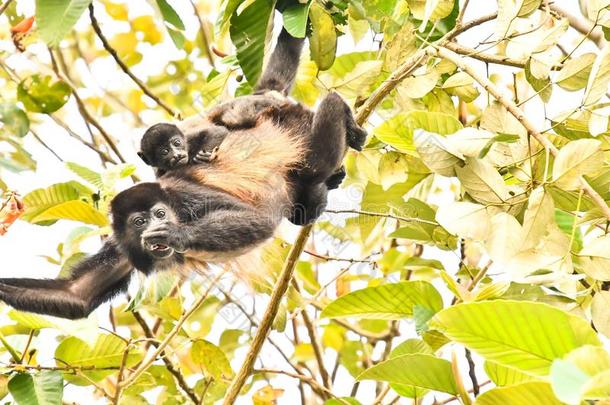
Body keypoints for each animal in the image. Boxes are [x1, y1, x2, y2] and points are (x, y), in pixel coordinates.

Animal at [0, 26, 364, 318]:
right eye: (139, 221)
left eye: (160, 214)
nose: (156, 226)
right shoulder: (121, 244)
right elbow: (76, 294)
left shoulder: (185, 196)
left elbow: (256, 220)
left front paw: (176, 235)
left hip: (293, 122)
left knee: (323, 128)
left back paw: (346, 123)